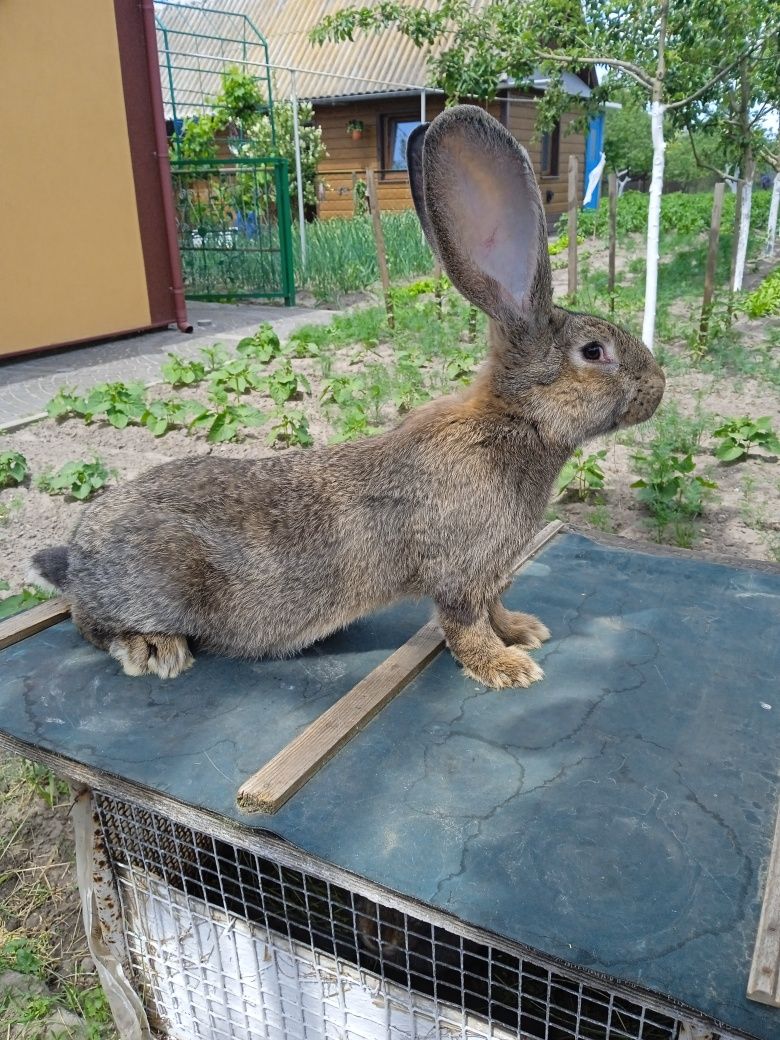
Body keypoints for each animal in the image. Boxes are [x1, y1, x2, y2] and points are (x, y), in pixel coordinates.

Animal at [30, 105, 665, 686]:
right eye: (593, 352)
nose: (658, 388)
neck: (518, 420)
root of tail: (79, 554)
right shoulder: (460, 572)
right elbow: (465, 624)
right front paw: (506, 667)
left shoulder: (488, 574)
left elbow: (495, 608)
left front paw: (523, 631)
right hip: (153, 586)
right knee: (86, 622)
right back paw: (153, 649)